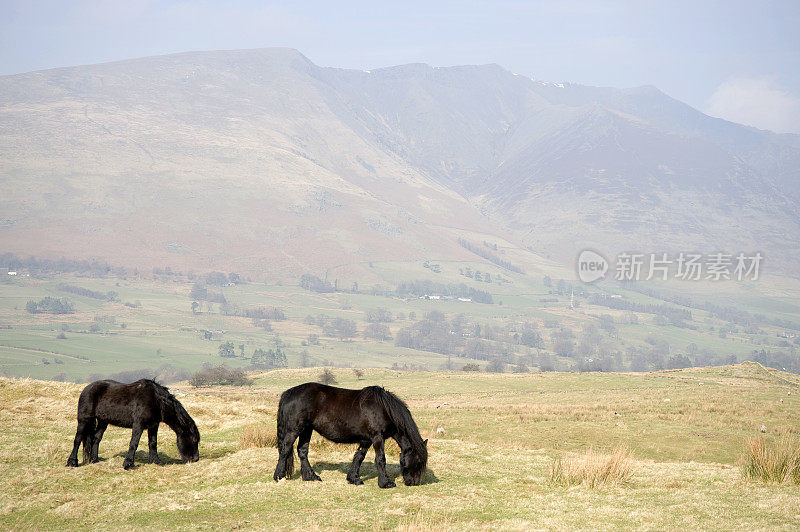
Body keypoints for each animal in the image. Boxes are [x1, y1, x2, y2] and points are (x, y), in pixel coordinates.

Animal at [67, 378, 202, 470]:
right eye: (194, 440)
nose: (196, 459)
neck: (157, 401)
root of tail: (86, 388)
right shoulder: (139, 424)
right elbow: (134, 443)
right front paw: (128, 464)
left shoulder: (154, 425)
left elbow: (153, 443)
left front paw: (156, 461)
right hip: (84, 420)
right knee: (77, 440)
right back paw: (72, 462)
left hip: (102, 421)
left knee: (96, 438)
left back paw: (94, 460)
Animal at [274, 384, 428, 488]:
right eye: (418, 461)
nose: (414, 483)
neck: (384, 409)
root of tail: (287, 393)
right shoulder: (377, 438)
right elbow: (380, 459)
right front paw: (385, 483)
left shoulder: (366, 440)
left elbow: (359, 457)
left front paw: (354, 479)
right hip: (294, 430)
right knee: (285, 450)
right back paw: (279, 476)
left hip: (307, 430)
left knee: (302, 451)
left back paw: (311, 476)